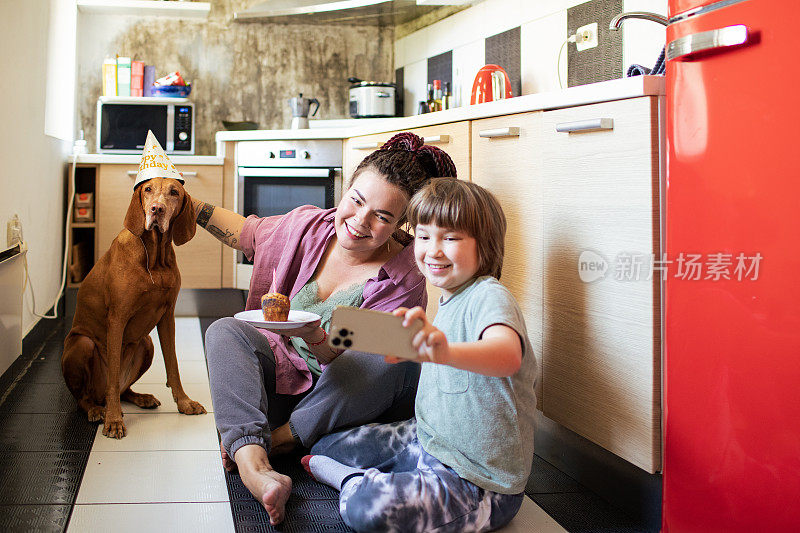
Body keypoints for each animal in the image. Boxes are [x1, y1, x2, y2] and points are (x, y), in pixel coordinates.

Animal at [63, 176, 206, 436]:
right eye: (148, 189)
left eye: (174, 192)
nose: (157, 209)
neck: (154, 257)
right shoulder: (117, 318)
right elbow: (112, 377)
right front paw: (113, 419)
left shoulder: (167, 317)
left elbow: (173, 365)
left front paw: (184, 402)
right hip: (82, 343)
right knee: (87, 397)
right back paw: (97, 410)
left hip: (146, 343)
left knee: (122, 390)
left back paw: (140, 397)